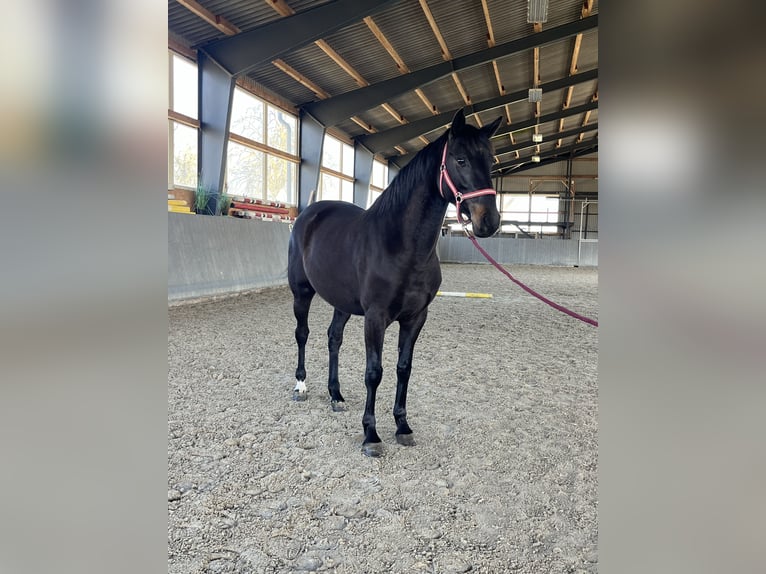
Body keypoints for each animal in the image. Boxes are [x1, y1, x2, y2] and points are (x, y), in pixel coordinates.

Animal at [287, 108, 502, 457]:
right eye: (460, 160)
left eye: (491, 159)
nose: (489, 221)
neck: (399, 243)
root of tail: (310, 213)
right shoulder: (375, 317)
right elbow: (374, 372)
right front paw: (371, 435)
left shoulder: (415, 318)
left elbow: (404, 368)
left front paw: (402, 426)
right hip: (301, 293)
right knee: (302, 334)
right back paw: (301, 386)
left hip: (341, 302)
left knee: (334, 338)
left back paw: (335, 395)